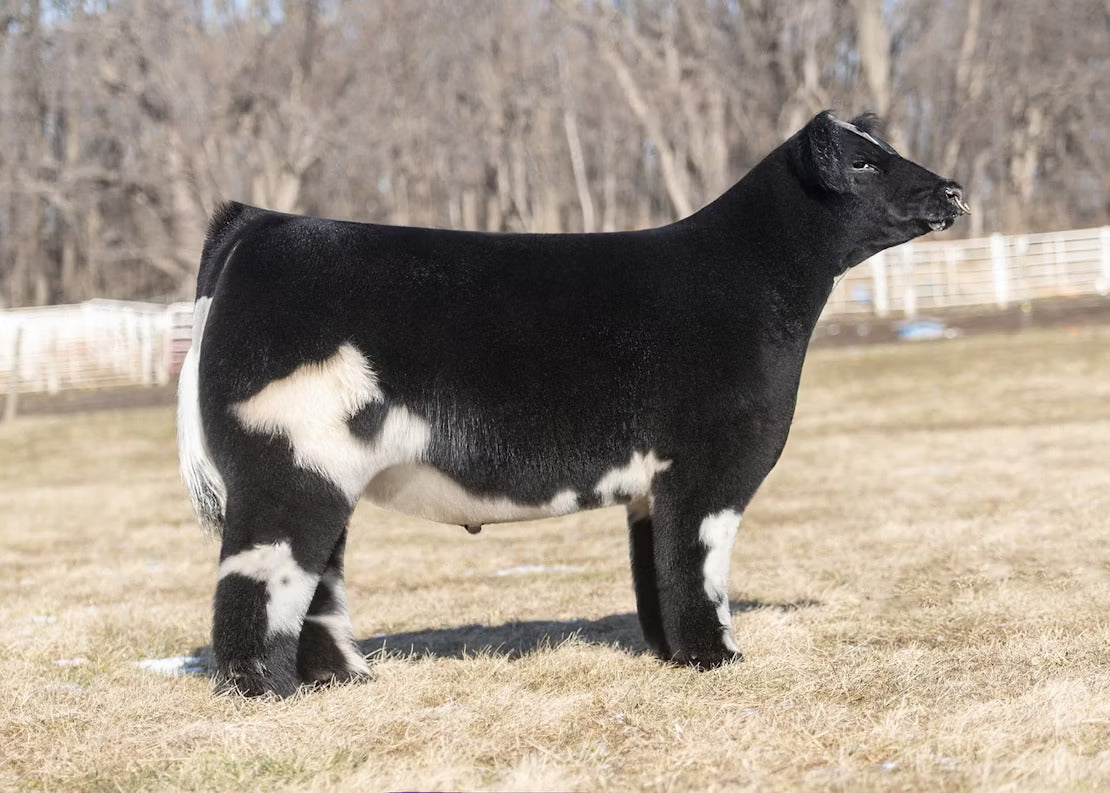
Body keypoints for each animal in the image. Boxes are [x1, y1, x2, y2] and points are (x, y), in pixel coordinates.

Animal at [177, 110, 968, 696]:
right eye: (863, 164)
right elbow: (698, 567)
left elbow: (658, 573)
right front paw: (719, 659)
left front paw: (674, 656)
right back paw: (268, 689)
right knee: (257, 582)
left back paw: (346, 679)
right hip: (285, 465)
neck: (747, 279)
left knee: (318, 584)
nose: (953, 192)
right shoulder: (708, 467)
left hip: (322, 470)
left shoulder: (654, 483)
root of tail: (262, 222)